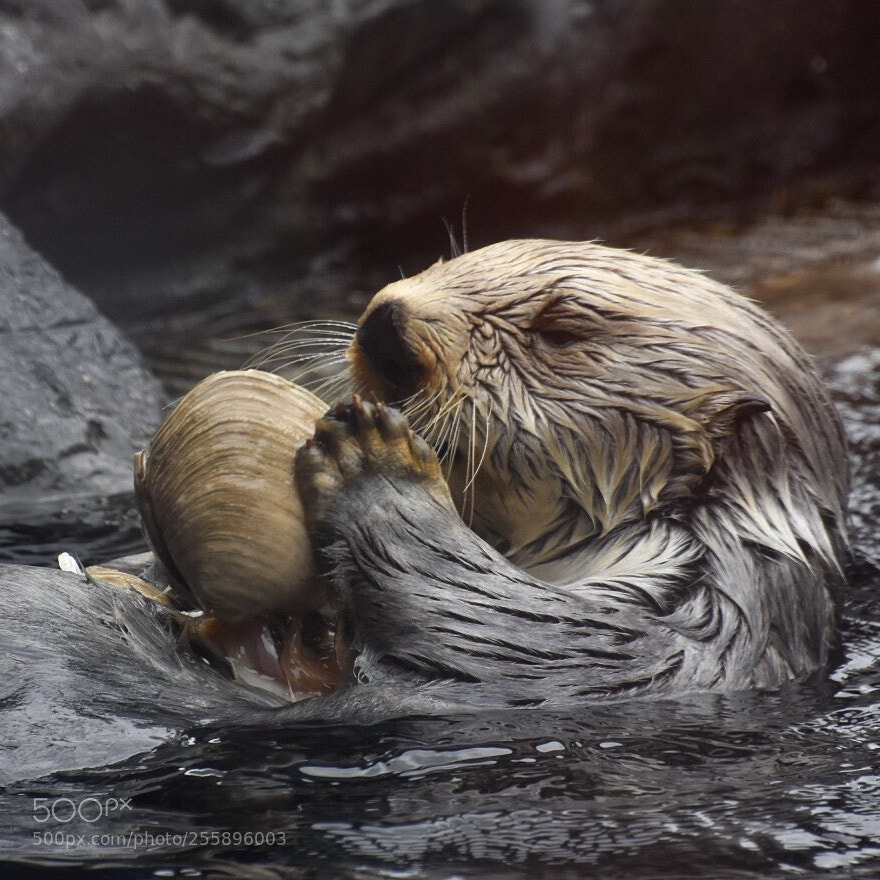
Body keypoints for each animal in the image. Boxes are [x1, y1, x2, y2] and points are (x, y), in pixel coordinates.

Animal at [294, 239, 849, 705]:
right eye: (444, 263)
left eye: (559, 331)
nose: (384, 327)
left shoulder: (686, 637)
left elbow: (513, 629)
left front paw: (373, 467)